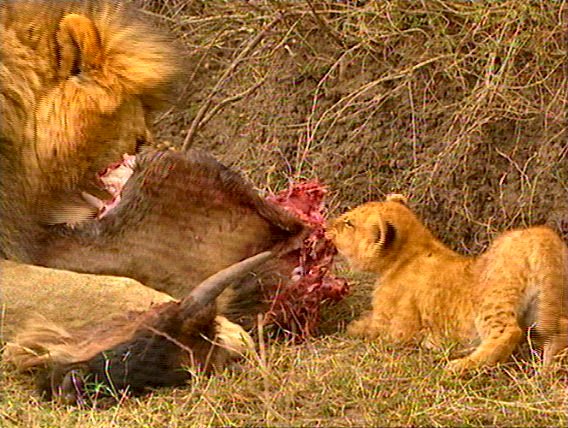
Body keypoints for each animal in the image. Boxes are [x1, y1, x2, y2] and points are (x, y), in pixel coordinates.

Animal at [326, 196, 564, 372]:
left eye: (348, 223)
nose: (328, 226)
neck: (409, 252)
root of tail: (539, 235)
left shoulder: (395, 329)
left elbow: (370, 329)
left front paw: (353, 327)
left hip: (492, 298)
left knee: (507, 331)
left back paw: (461, 366)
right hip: (548, 304)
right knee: (560, 327)